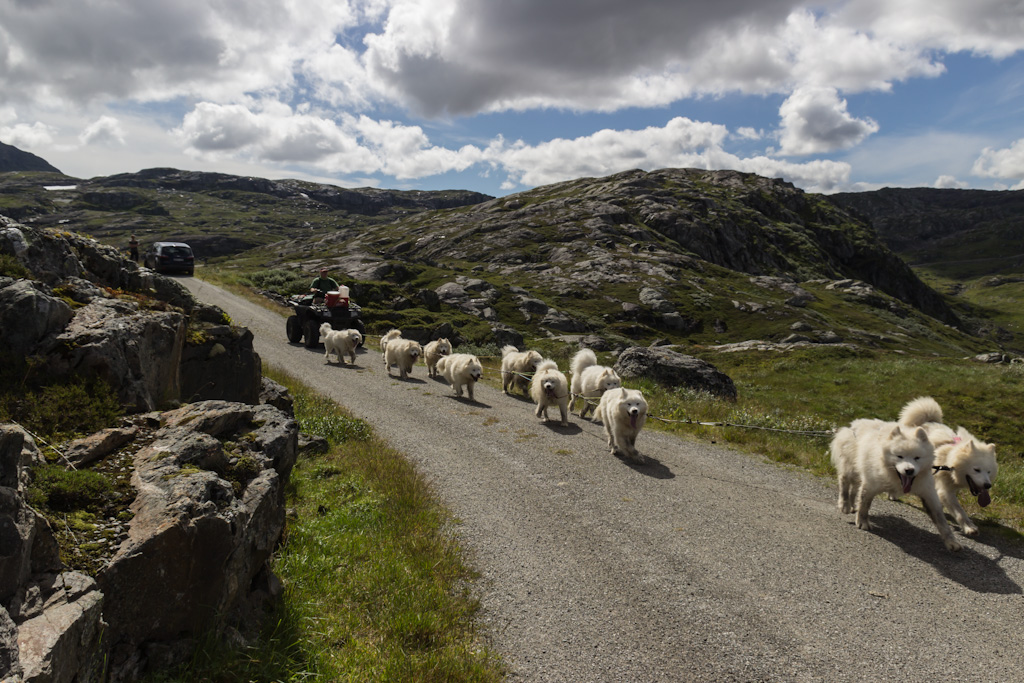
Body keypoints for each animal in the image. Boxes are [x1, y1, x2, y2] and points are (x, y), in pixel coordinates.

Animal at [827, 413, 962, 552]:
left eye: (917, 458)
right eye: (900, 456)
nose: (909, 470)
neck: (895, 478)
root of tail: (854, 424)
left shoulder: (928, 493)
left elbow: (941, 519)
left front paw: (951, 541)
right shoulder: (870, 485)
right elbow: (865, 505)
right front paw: (862, 522)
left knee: (854, 488)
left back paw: (853, 505)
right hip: (851, 469)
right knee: (844, 481)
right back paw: (845, 505)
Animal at [901, 397, 995, 536]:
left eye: (989, 472)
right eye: (976, 469)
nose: (987, 485)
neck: (949, 461)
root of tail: (928, 420)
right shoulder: (945, 490)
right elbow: (959, 511)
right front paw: (969, 527)